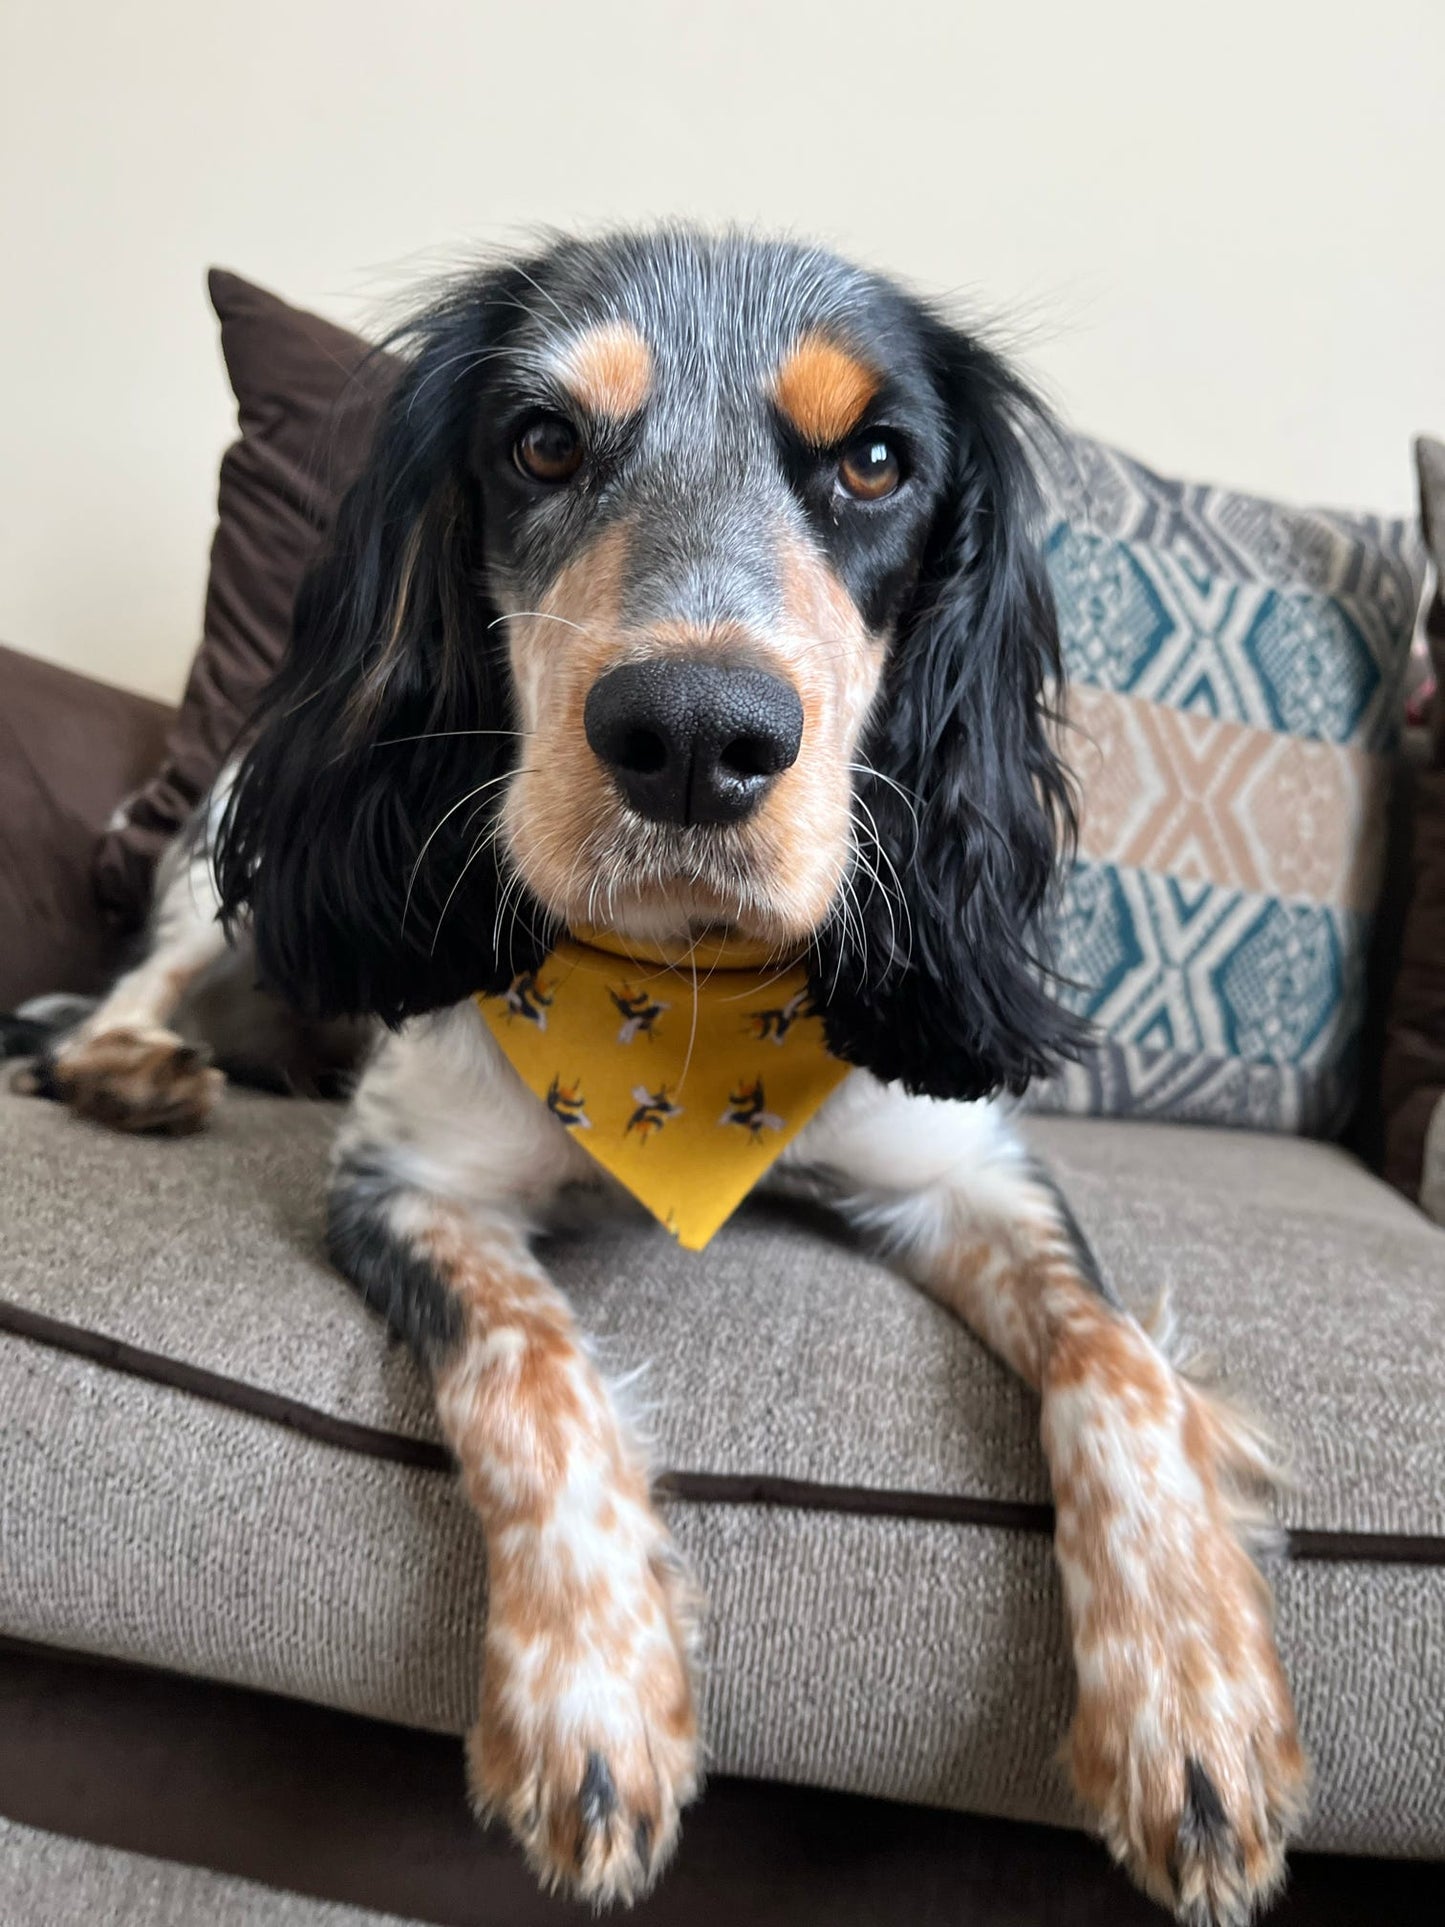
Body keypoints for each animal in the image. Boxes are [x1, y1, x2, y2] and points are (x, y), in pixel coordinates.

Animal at [14, 233, 1310, 1919]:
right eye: (540, 442)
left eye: (876, 461)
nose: (695, 734)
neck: (681, 1003)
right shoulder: (407, 1181)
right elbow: (530, 1370)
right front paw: (591, 1699)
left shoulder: (965, 1170)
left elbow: (1116, 1362)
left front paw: (1188, 1698)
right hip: (223, 847)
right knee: (142, 980)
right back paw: (134, 1066)